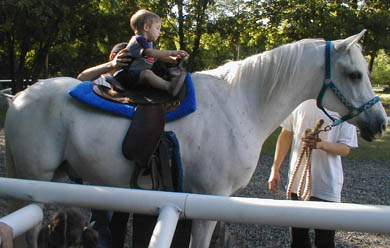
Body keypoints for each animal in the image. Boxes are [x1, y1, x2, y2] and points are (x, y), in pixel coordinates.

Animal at [3, 30, 386, 247]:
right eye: (355, 74)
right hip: (34, 178)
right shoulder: (207, 203)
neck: (240, 104)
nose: (381, 123)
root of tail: (19, 96)